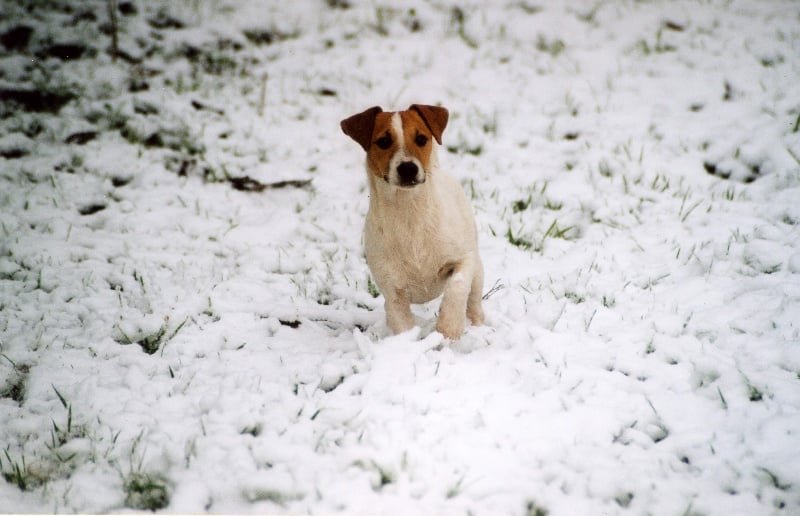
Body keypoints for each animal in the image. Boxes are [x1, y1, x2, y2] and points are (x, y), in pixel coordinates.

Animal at [340, 104, 484, 338]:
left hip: (478, 270)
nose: (408, 168)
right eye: (384, 141)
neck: (410, 213)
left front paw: (449, 327)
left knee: (474, 300)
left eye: (421, 138)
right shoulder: (393, 292)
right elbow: (403, 327)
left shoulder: (463, 258)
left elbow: (457, 285)